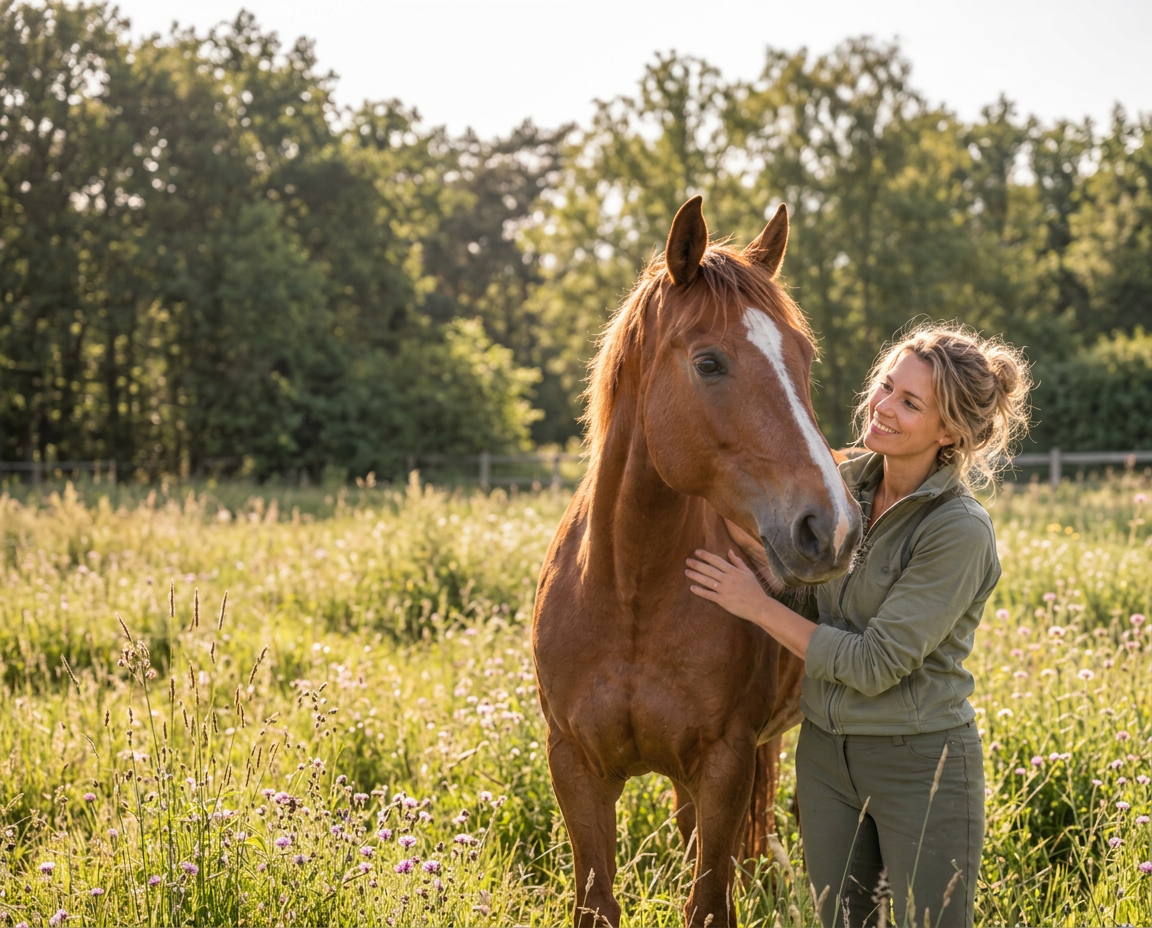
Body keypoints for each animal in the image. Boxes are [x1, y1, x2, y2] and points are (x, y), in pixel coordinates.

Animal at [531, 196, 863, 927]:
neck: (629, 589)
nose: (832, 528)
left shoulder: (725, 762)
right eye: (710, 363)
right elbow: (600, 899)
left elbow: (710, 898)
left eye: (803, 357)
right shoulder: (576, 768)